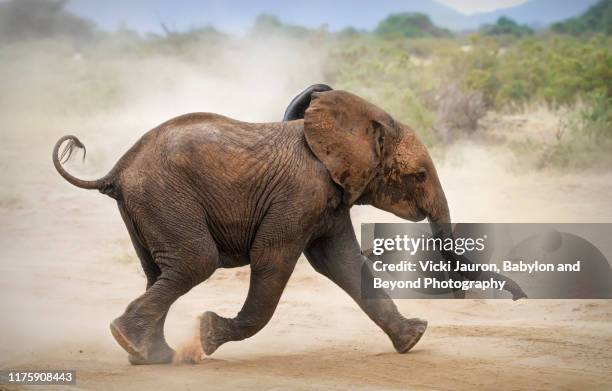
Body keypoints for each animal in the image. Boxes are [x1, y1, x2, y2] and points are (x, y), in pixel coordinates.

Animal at [52, 85, 524, 364]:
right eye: (420, 176)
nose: (519, 297)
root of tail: (118, 168)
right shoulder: (301, 194)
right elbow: (274, 260)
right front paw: (209, 334)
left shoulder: (329, 200)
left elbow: (342, 263)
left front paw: (413, 339)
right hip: (165, 197)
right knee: (194, 263)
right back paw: (137, 343)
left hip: (149, 207)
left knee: (161, 272)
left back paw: (149, 356)